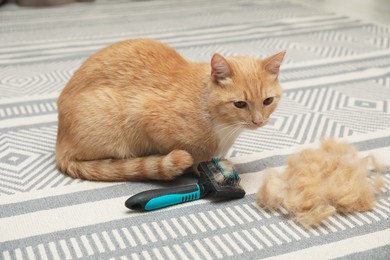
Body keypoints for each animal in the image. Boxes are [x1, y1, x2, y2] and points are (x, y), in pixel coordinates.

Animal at [54, 38, 284, 181]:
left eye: (267, 101)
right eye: (240, 104)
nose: (258, 121)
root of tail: (60, 145)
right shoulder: (146, 116)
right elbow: (194, 157)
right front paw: (204, 170)